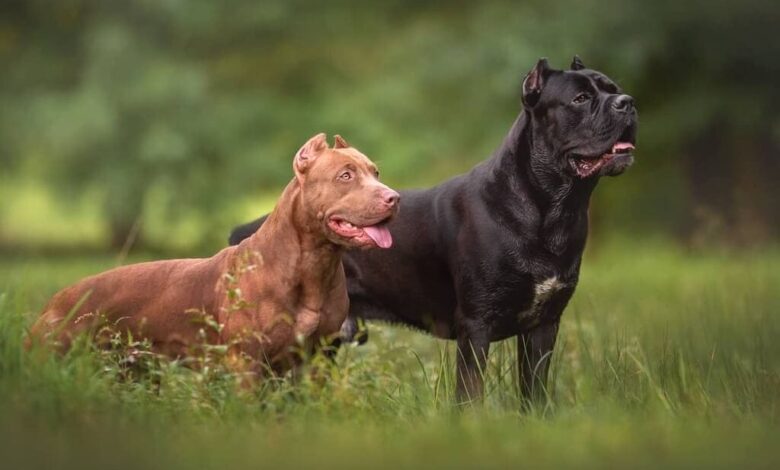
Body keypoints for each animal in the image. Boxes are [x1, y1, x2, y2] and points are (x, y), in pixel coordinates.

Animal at [27, 132, 400, 374]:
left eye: (376, 172)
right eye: (345, 175)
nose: (394, 197)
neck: (312, 264)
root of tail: (53, 302)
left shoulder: (318, 359)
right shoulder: (247, 364)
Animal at [229, 57, 636, 404]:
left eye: (613, 88)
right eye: (580, 99)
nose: (627, 103)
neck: (553, 206)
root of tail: (245, 231)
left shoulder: (543, 325)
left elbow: (533, 391)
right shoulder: (476, 326)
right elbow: (470, 395)